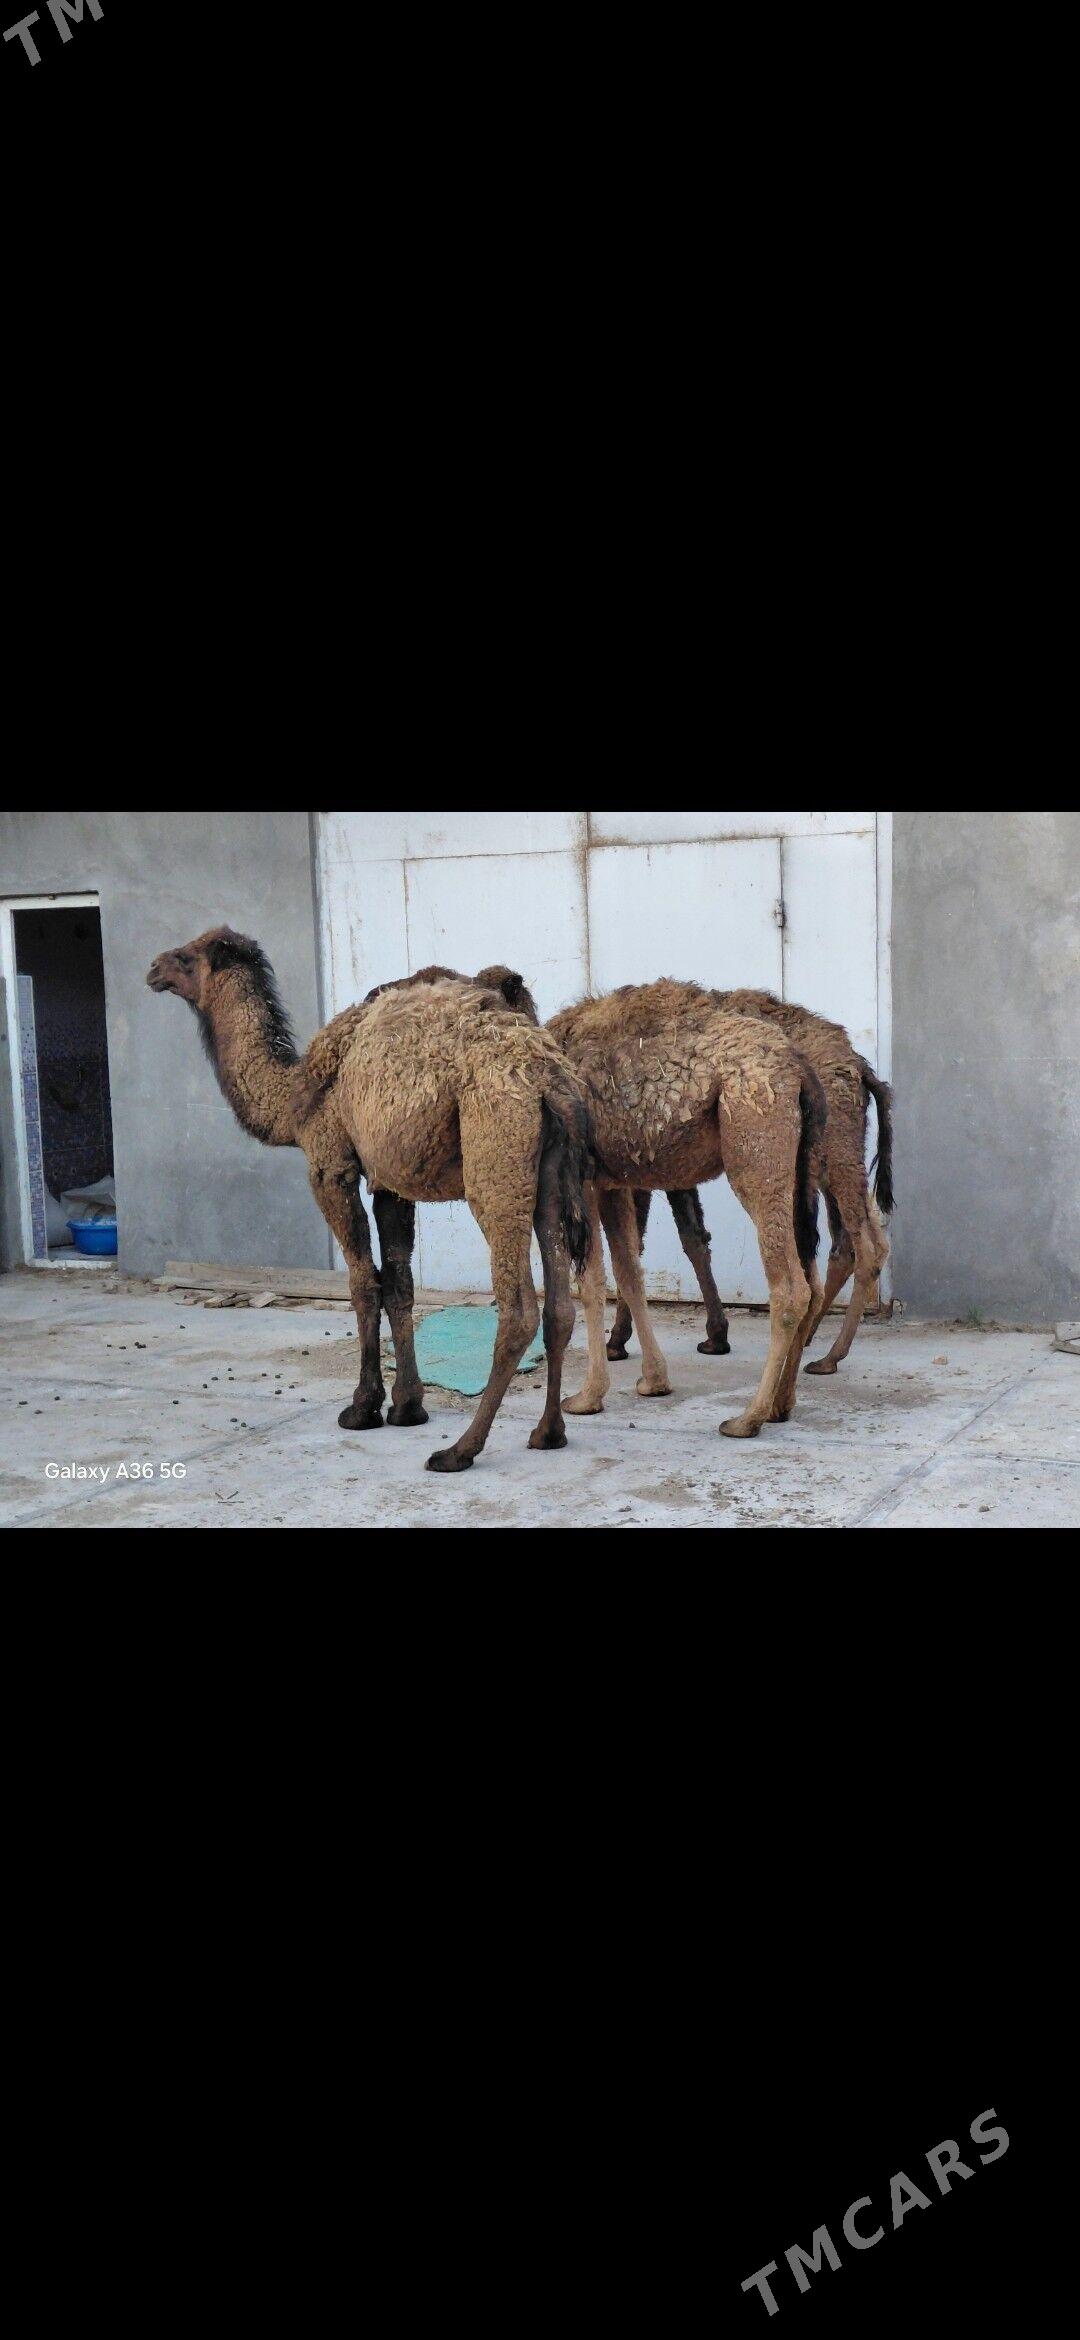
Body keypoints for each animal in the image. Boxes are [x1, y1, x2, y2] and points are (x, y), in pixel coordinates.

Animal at [146, 929, 594, 1472]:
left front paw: (362, 1406)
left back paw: (459, 1450)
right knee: (560, 1306)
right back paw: (548, 1432)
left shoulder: (330, 1164)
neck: (294, 1096)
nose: (153, 968)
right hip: (552, 1175)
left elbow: (363, 1282)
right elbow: (399, 1281)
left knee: (518, 1308)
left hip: (495, 1154)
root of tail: (547, 1072)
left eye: (186, 956)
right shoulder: (390, 1182)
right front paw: (407, 1406)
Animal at [606, 991, 893, 1376]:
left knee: (865, 1248)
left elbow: (634, 1246)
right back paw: (810, 1338)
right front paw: (716, 1336)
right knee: (844, 1245)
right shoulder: (671, 1171)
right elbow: (693, 1238)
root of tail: (859, 1069)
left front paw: (617, 1341)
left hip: (835, 1158)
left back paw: (827, 1357)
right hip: (835, 1162)